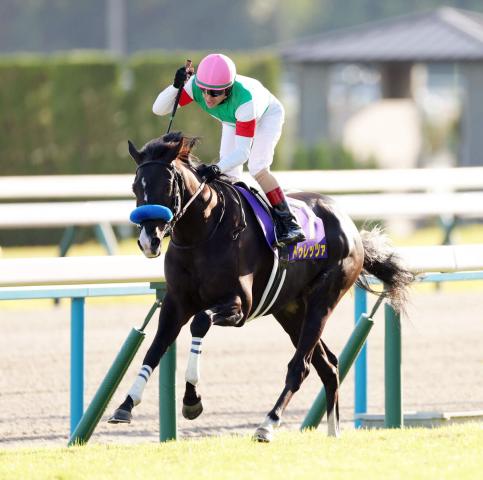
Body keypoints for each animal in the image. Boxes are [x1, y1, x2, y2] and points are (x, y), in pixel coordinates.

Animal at [108, 132, 412, 442]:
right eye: (135, 185)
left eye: (168, 185)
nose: (149, 241)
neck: (203, 233)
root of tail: (350, 226)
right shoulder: (175, 303)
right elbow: (155, 348)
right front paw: (126, 405)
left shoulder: (239, 305)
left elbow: (200, 322)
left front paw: (192, 399)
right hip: (290, 311)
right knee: (327, 365)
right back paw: (332, 432)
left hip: (323, 300)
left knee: (300, 367)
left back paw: (268, 424)